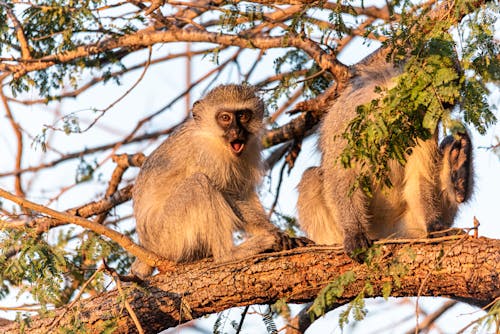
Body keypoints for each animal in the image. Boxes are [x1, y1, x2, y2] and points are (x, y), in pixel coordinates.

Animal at [131, 84, 306, 280]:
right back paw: (228, 254)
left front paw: (277, 232)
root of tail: (147, 245)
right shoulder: (206, 155)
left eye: (243, 115)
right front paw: (274, 234)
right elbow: (227, 195)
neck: (213, 137)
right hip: (167, 236)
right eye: (225, 118)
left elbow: (243, 194)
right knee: (199, 183)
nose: (237, 131)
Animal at [296, 52, 472, 260]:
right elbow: (341, 173)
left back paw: (459, 166)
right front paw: (354, 232)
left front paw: (436, 227)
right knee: (312, 177)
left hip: (407, 227)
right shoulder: (351, 113)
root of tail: (384, 233)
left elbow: (419, 176)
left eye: (443, 107)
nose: (434, 117)